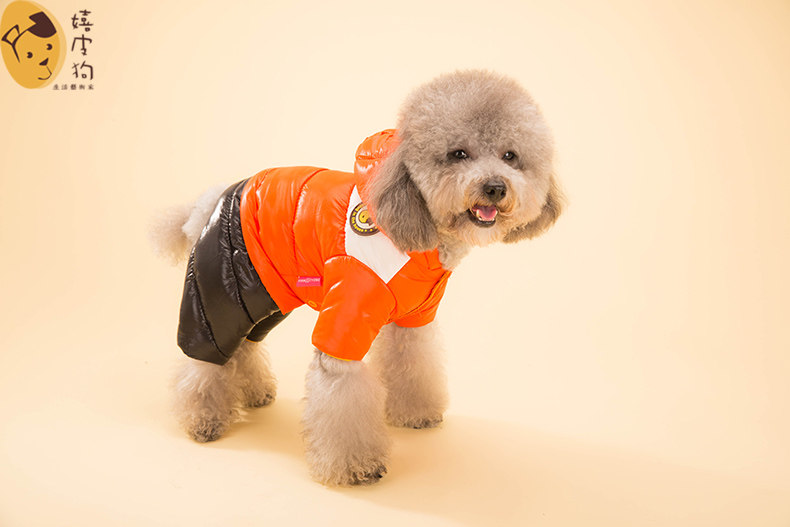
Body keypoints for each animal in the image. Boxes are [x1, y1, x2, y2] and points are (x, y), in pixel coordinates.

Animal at [150, 70, 565, 486]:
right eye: (458, 154)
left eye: (510, 156)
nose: (495, 187)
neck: (417, 224)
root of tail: (209, 201)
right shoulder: (345, 318)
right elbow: (342, 395)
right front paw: (354, 466)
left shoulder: (414, 318)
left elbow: (415, 363)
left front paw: (415, 413)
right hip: (218, 293)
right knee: (206, 357)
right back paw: (202, 418)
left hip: (265, 296)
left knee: (247, 346)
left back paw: (254, 392)